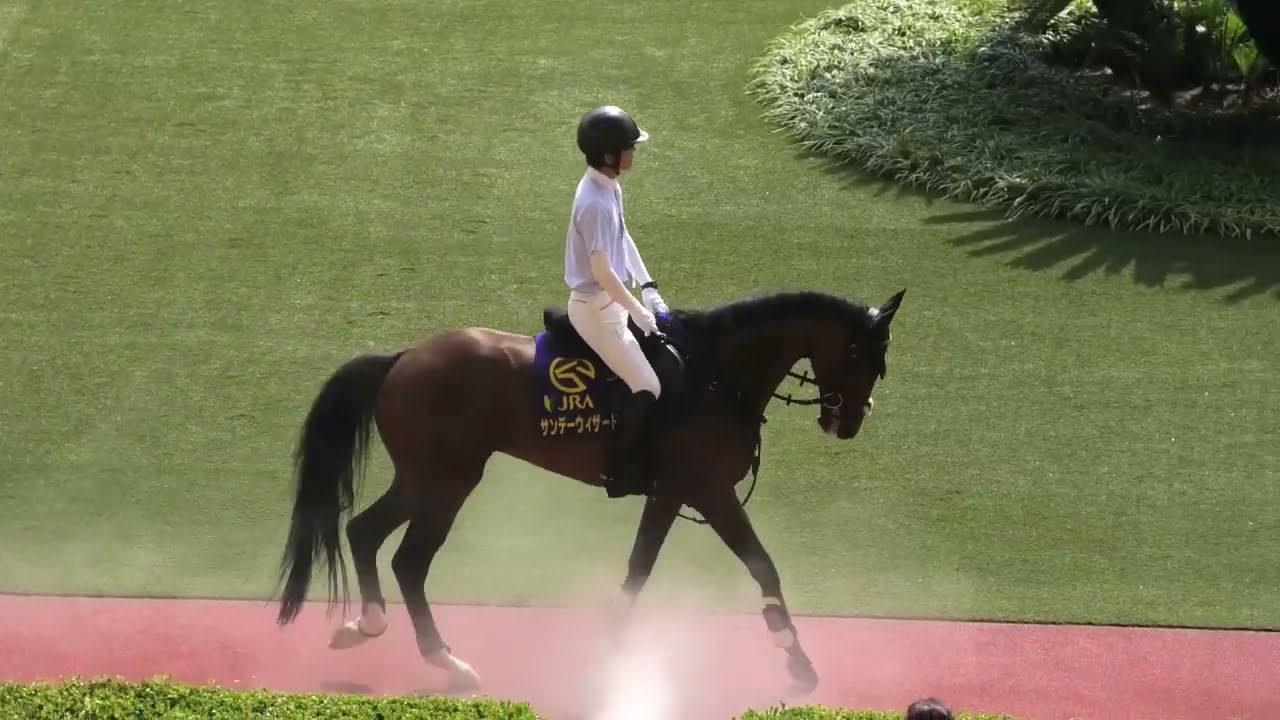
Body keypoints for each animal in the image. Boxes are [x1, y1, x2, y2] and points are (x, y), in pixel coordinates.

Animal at [274, 286, 905, 695]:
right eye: (867, 357)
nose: (851, 422)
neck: (714, 378)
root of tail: (405, 357)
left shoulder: (670, 493)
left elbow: (639, 568)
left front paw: (611, 645)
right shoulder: (708, 491)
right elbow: (761, 566)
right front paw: (796, 659)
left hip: (422, 478)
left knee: (363, 531)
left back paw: (367, 625)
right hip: (449, 481)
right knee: (409, 561)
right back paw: (447, 662)